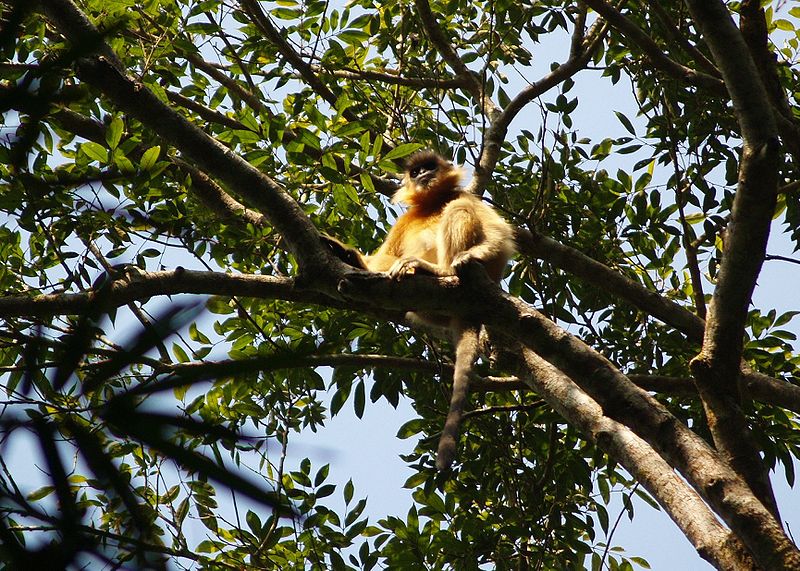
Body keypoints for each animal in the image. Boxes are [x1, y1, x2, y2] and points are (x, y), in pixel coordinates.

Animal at [324, 151, 515, 469]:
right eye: (416, 172)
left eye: (429, 167)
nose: (423, 174)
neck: (431, 203)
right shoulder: (404, 220)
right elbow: (381, 259)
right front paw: (347, 254)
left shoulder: (466, 196)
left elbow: (500, 233)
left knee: (459, 209)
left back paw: (438, 270)